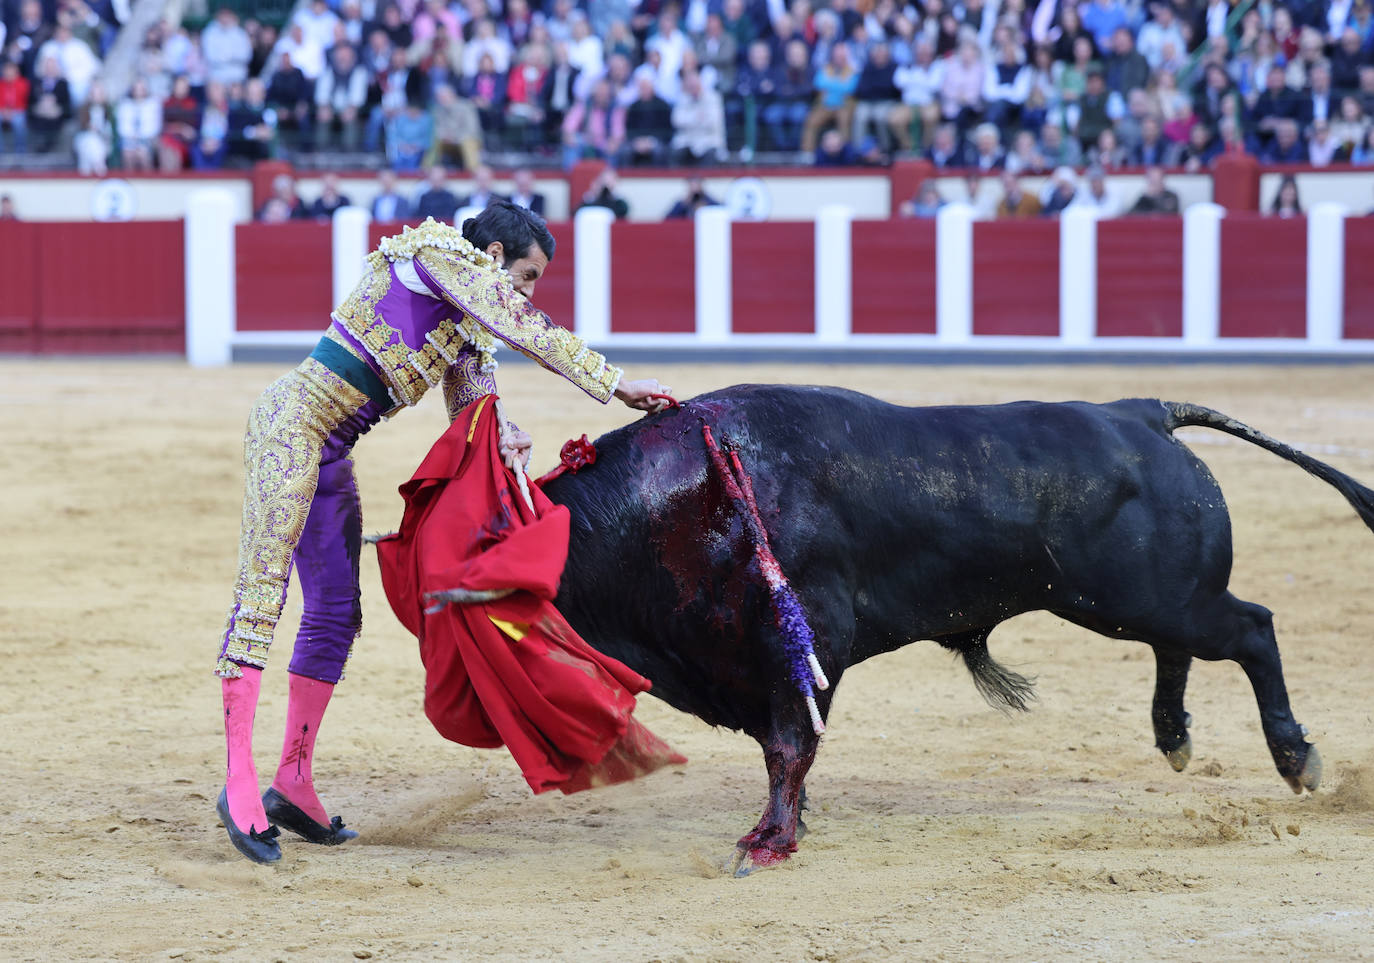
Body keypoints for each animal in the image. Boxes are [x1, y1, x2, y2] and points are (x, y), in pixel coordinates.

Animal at [530, 384, 1374, 873]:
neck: (680, 498)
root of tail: (1139, 412)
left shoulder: (801, 646)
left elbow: (788, 745)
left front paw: (766, 842)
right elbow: (787, 749)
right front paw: (787, 825)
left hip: (1148, 596)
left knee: (1253, 629)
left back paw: (1294, 756)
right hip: (1140, 599)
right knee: (1184, 646)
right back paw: (1174, 737)